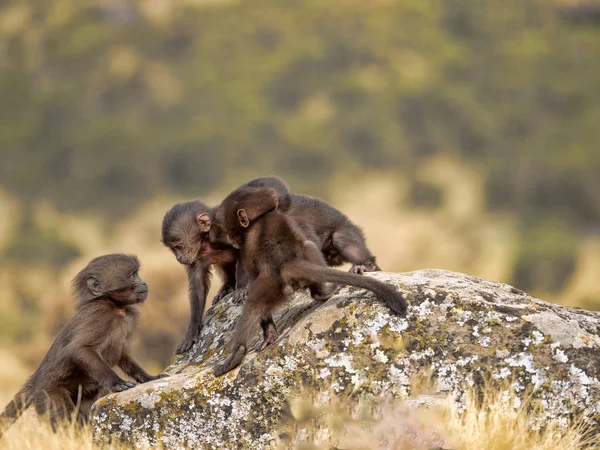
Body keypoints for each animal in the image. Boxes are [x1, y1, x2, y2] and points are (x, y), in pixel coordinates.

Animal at [0, 253, 166, 436]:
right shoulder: (97, 315)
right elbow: (79, 349)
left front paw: (149, 378)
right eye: (131, 276)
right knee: (66, 423)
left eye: (137, 274)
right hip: (47, 393)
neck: (114, 306)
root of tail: (34, 381)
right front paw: (117, 383)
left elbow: (123, 355)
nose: (144, 283)